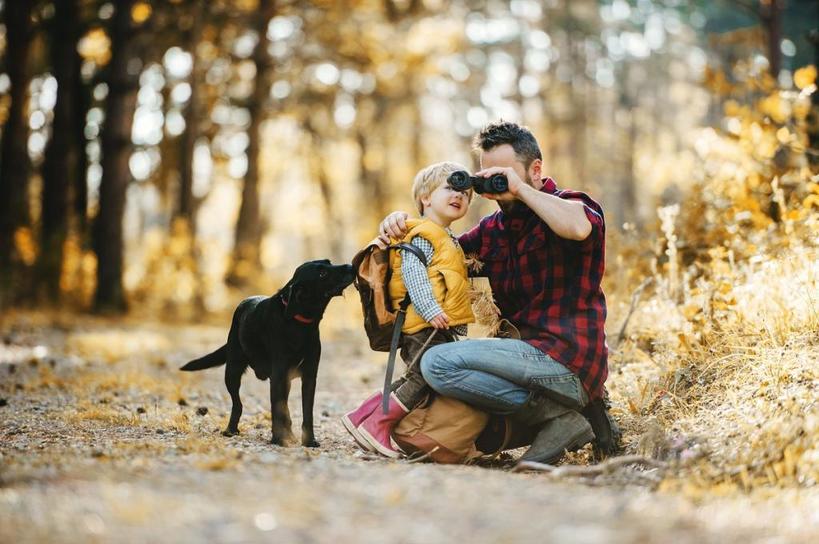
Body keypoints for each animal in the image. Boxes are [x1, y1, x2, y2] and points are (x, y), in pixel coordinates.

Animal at [181, 260, 354, 446]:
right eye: (322, 274)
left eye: (329, 262)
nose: (351, 266)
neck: (299, 323)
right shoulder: (279, 376)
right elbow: (278, 410)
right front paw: (278, 439)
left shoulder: (309, 377)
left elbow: (306, 413)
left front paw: (308, 441)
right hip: (233, 371)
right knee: (238, 404)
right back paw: (231, 430)